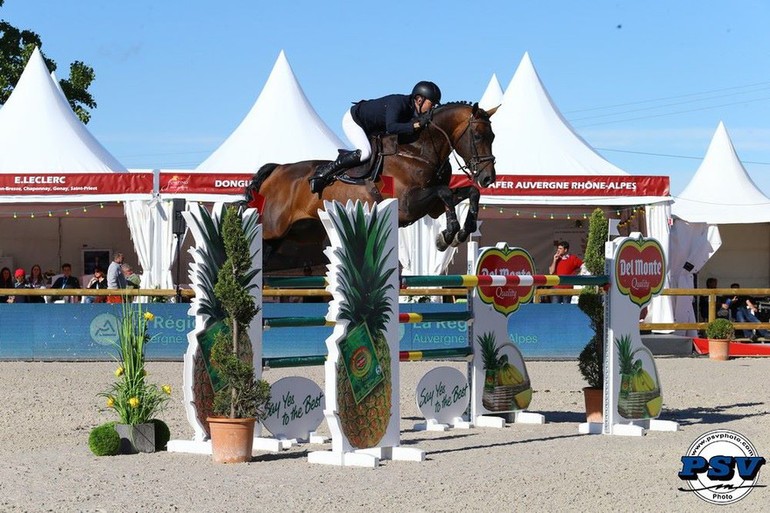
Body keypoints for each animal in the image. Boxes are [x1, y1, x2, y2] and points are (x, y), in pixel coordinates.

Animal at [246, 99, 498, 268]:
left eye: (493, 137)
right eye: (477, 136)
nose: (488, 178)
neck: (419, 151)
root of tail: (278, 169)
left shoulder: (432, 207)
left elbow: (469, 192)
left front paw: (460, 232)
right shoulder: (408, 206)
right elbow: (445, 192)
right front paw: (448, 235)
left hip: (297, 233)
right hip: (272, 228)